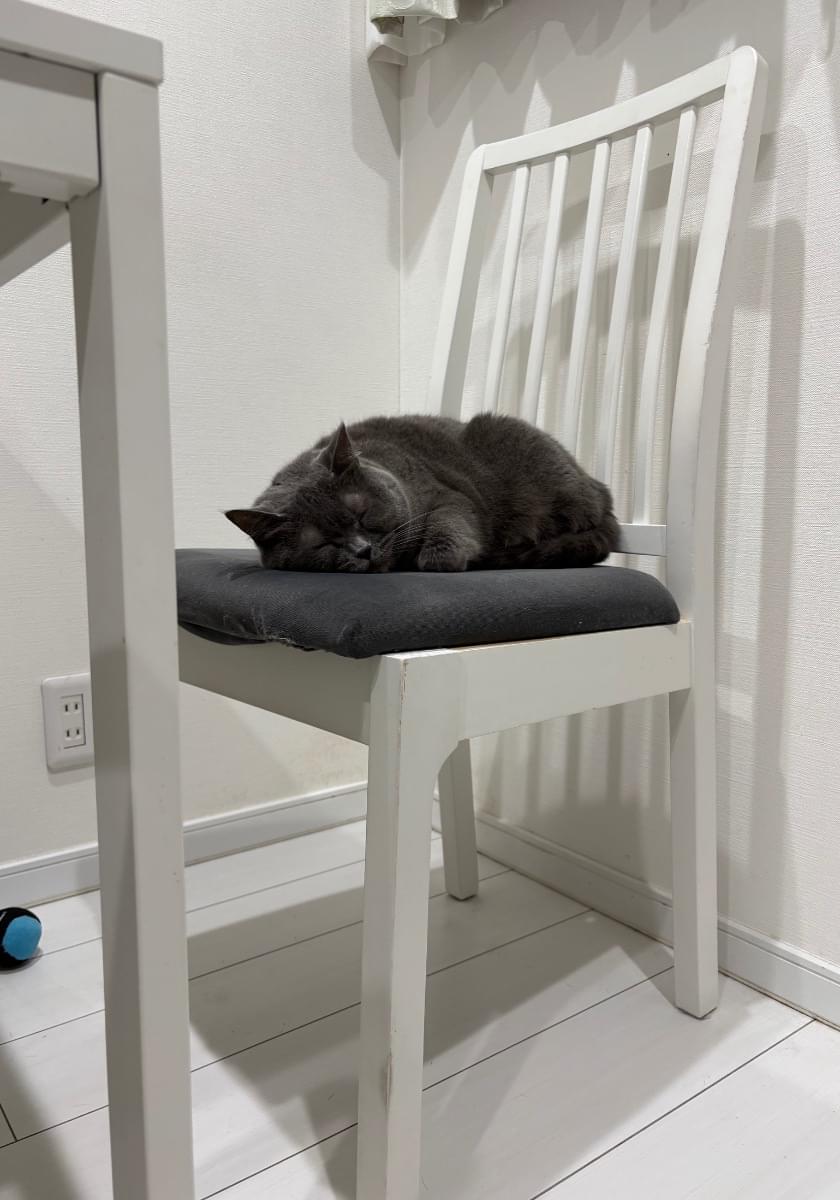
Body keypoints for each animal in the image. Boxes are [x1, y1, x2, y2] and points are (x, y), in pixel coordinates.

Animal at [226, 414, 620, 573]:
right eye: (323, 543)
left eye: (362, 515)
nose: (363, 550)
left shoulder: (448, 495)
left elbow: (446, 522)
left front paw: (440, 560)